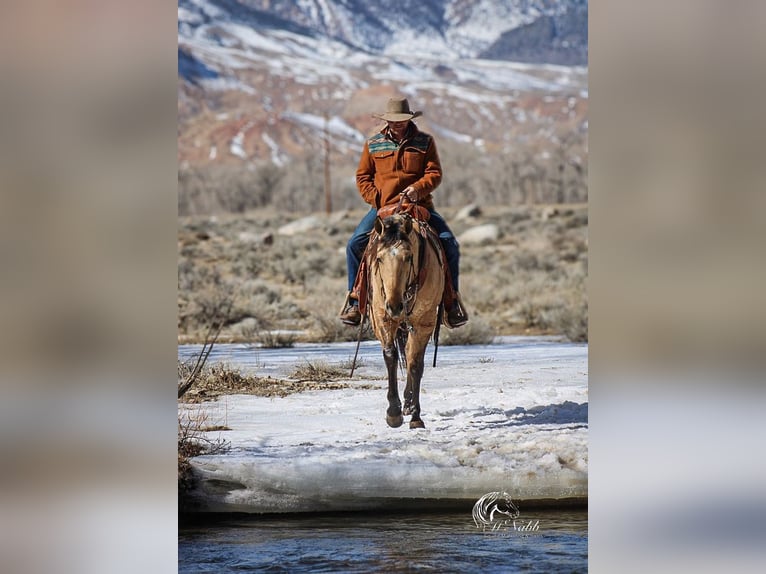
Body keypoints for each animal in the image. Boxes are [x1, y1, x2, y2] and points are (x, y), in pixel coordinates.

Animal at [364, 214, 444, 430]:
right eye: (379, 258)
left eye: (408, 257)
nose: (395, 306)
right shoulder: (382, 317)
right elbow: (390, 356)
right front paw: (393, 413)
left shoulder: (423, 322)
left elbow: (415, 363)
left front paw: (415, 416)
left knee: (410, 356)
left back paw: (409, 405)